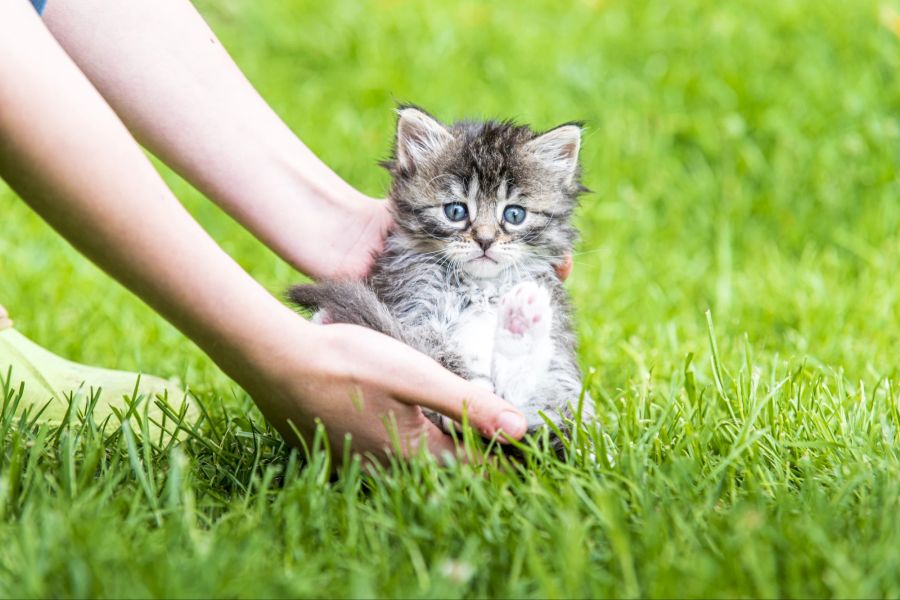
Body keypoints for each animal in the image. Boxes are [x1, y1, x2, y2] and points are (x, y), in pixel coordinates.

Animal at [292, 106, 596, 446]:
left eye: (514, 214)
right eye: (456, 211)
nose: (485, 240)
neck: (481, 287)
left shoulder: (558, 349)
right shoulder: (412, 309)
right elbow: (440, 354)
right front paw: (467, 397)